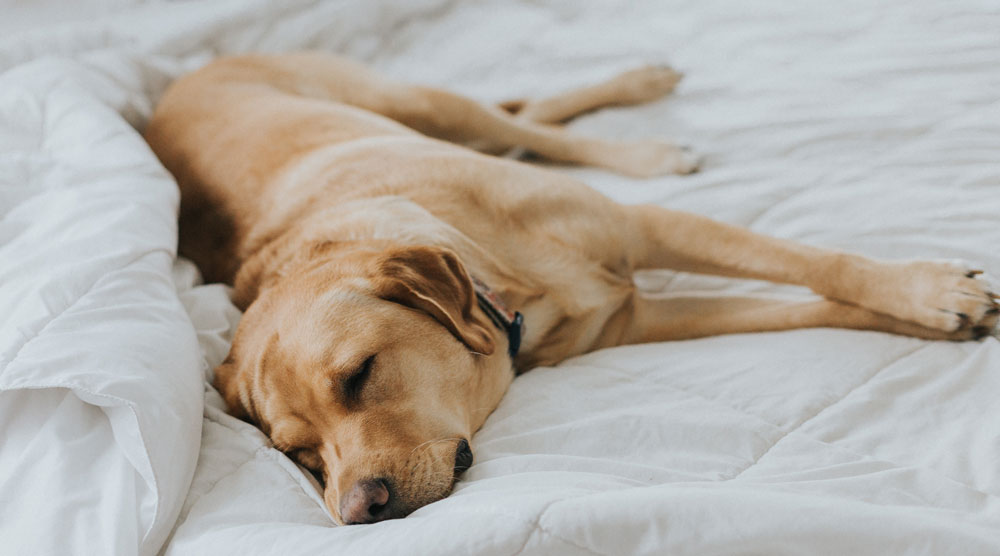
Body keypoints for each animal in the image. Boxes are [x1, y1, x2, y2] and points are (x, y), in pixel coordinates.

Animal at [145, 53, 996, 524]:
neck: (505, 283)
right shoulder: (644, 317)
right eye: (298, 455)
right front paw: (938, 319)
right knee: (520, 116)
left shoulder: (650, 229)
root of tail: (168, 93)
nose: (358, 512)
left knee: (524, 120)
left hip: (415, 102)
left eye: (359, 375)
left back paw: (648, 128)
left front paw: (926, 290)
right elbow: (820, 305)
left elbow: (821, 266)